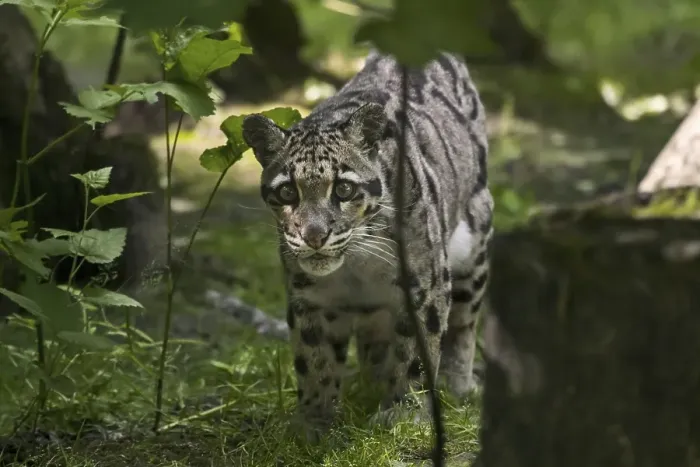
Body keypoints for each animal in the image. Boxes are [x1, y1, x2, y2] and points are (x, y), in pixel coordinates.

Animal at [242, 49, 493, 441]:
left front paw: (404, 413)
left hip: (475, 243)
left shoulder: (425, 284)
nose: (314, 236)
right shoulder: (309, 298)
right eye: (287, 192)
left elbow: (418, 353)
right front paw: (313, 421)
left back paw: (457, 386)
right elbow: (314, 359)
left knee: (464, 325)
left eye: (344, 189)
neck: (356, 264)